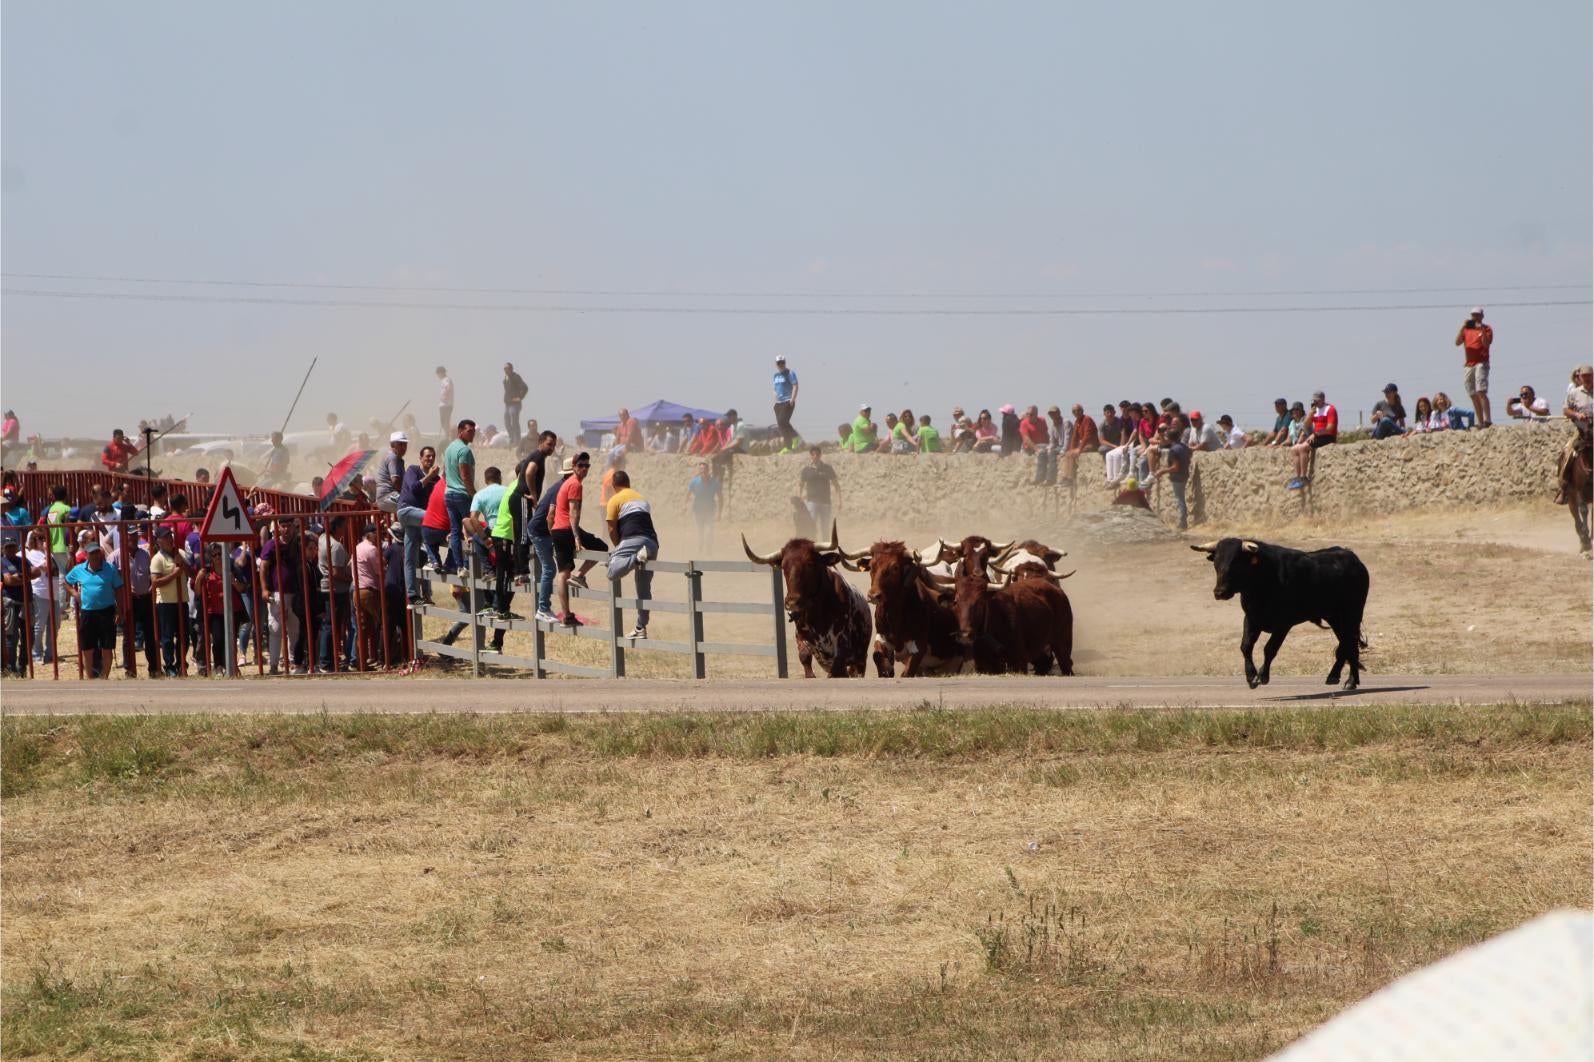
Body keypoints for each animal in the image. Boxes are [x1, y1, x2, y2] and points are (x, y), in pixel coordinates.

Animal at [1198, 538, 1370, 685]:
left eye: (1236, 563)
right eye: (1216, 563)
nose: (1219, 592)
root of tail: (1354, 559)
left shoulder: (1283, 624)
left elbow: (1270, 648)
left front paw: (1262, 676)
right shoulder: (1251, 619)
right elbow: (1246, 646)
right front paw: (1251, 677)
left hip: (1352, 614)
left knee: (1349, 643)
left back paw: (1348, 680)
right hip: (1334, 617)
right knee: (1346, 643)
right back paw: (1341, 678)